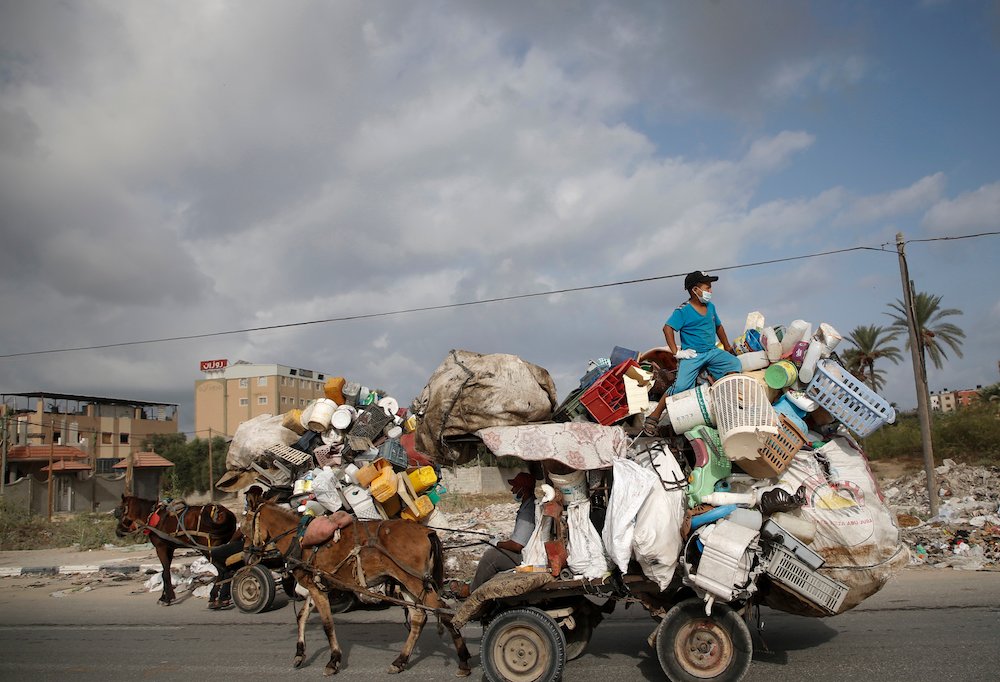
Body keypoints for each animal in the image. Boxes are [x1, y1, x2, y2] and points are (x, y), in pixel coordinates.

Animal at [246, 494, 472, 676]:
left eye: (245, 523)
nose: (248, 554)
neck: (299, 538)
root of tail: (426, 531)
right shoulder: (315, 586)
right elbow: (302, 616)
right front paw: (300, 654)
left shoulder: (317, 590)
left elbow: (327, 624)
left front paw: (333, 661)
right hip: (407, 583)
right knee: (419, 617)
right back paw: (400, 661)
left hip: (414, 581)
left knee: (443, 612)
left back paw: (463, 661)